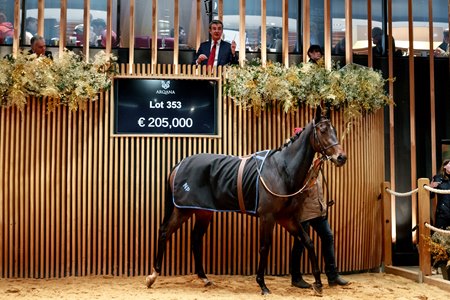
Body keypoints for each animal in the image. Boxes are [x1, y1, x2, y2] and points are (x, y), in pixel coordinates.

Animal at [146, 106, 346, 294]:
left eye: (334, 130)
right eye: (322, 130)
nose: (341, 157)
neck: (281, 171)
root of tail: (179, 164)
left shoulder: (287, 218)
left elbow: (308, 242)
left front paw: (318, 283)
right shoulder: (267, 217)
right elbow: (265, 247)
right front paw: (262, 285)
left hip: (203, 212)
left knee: (195, 239)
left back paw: (204, 278)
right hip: (183, 210)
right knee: (164, 232)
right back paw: (153, 276)